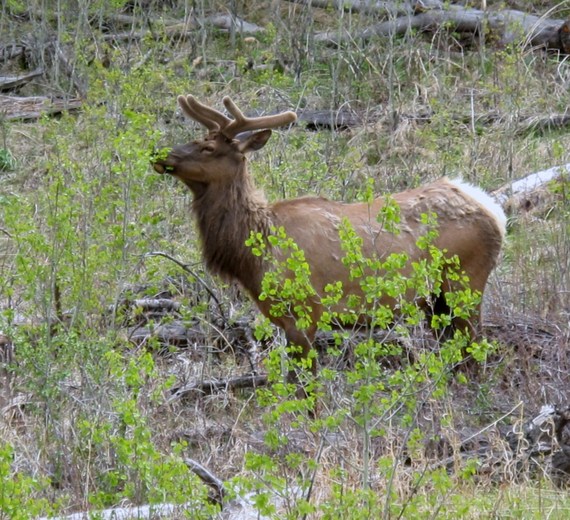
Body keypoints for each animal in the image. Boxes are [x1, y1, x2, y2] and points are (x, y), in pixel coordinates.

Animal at [152, 93, 506, 386]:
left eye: (208, 147)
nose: (159, 154)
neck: (256, 249)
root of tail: (493, 211)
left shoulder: (305, 310)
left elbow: (305, 386)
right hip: (436, 301)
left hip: (466, 282)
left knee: (476, 350)